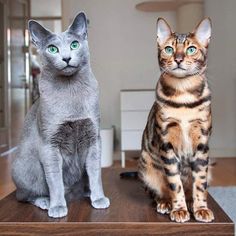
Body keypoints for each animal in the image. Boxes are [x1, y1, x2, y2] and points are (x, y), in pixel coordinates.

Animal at [10, 12, 110, 218]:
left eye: (74, 45)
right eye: (52, 49)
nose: (66, 58)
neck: (71, 92)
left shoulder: (93, 138)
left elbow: (95, 172)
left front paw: (98, 198)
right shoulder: (49, 144)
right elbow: (54, 179)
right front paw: (57, 207)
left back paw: (85, 192)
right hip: (25, 166)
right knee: (23, 195)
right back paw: (45, 201)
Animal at [138, 18, 214, 223]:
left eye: (191, 49)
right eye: (169, 49)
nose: (178, 59)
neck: (183, 94)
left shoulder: (202, 143)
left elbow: (199, 183)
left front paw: (201, 208)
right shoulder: (167, 142)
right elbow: (174, 182)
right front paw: (179, 209)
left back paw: (191, 202)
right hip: (147, 166)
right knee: (157, 191)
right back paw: (165, 202)